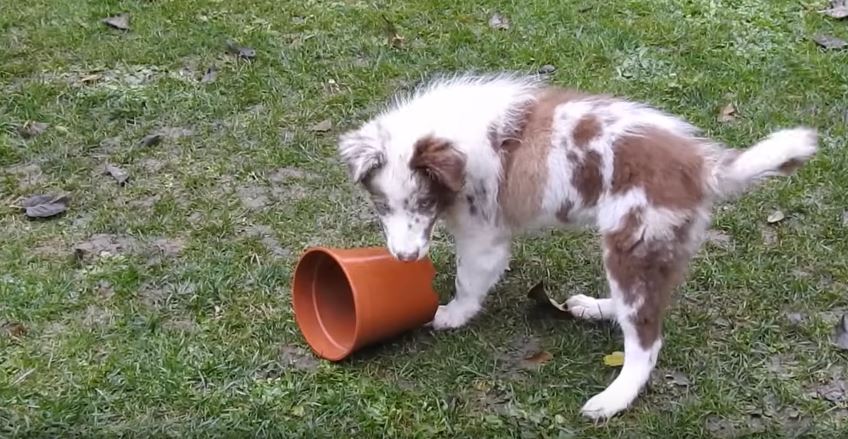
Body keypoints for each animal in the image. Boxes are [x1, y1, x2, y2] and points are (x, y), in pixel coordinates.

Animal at [334, 74, 820, 422]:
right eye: (382, 206)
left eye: (423, 204)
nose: (405, 258)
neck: (452, 133)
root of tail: (703, 165)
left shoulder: (483, 235)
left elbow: (468, 281)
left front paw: (450, 314)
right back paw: (593, 308)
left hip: (632, 242)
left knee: (646, 340)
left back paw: (611, 400)